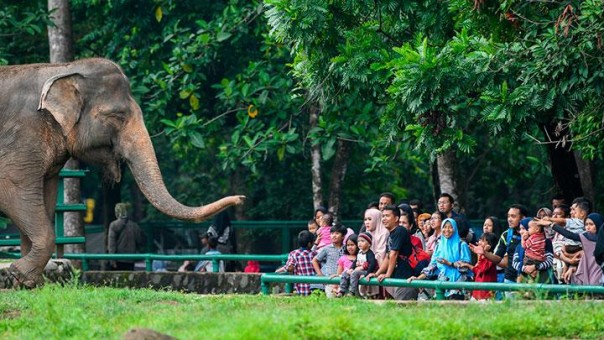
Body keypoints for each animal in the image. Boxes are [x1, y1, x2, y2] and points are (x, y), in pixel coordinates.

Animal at [0, 58, 245, 286]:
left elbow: (44, 199)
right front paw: (17, 273)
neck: (64, 68)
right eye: (117, 116)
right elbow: (12, 193)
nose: (241, 198)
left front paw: (27, 282)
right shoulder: (22, 138)